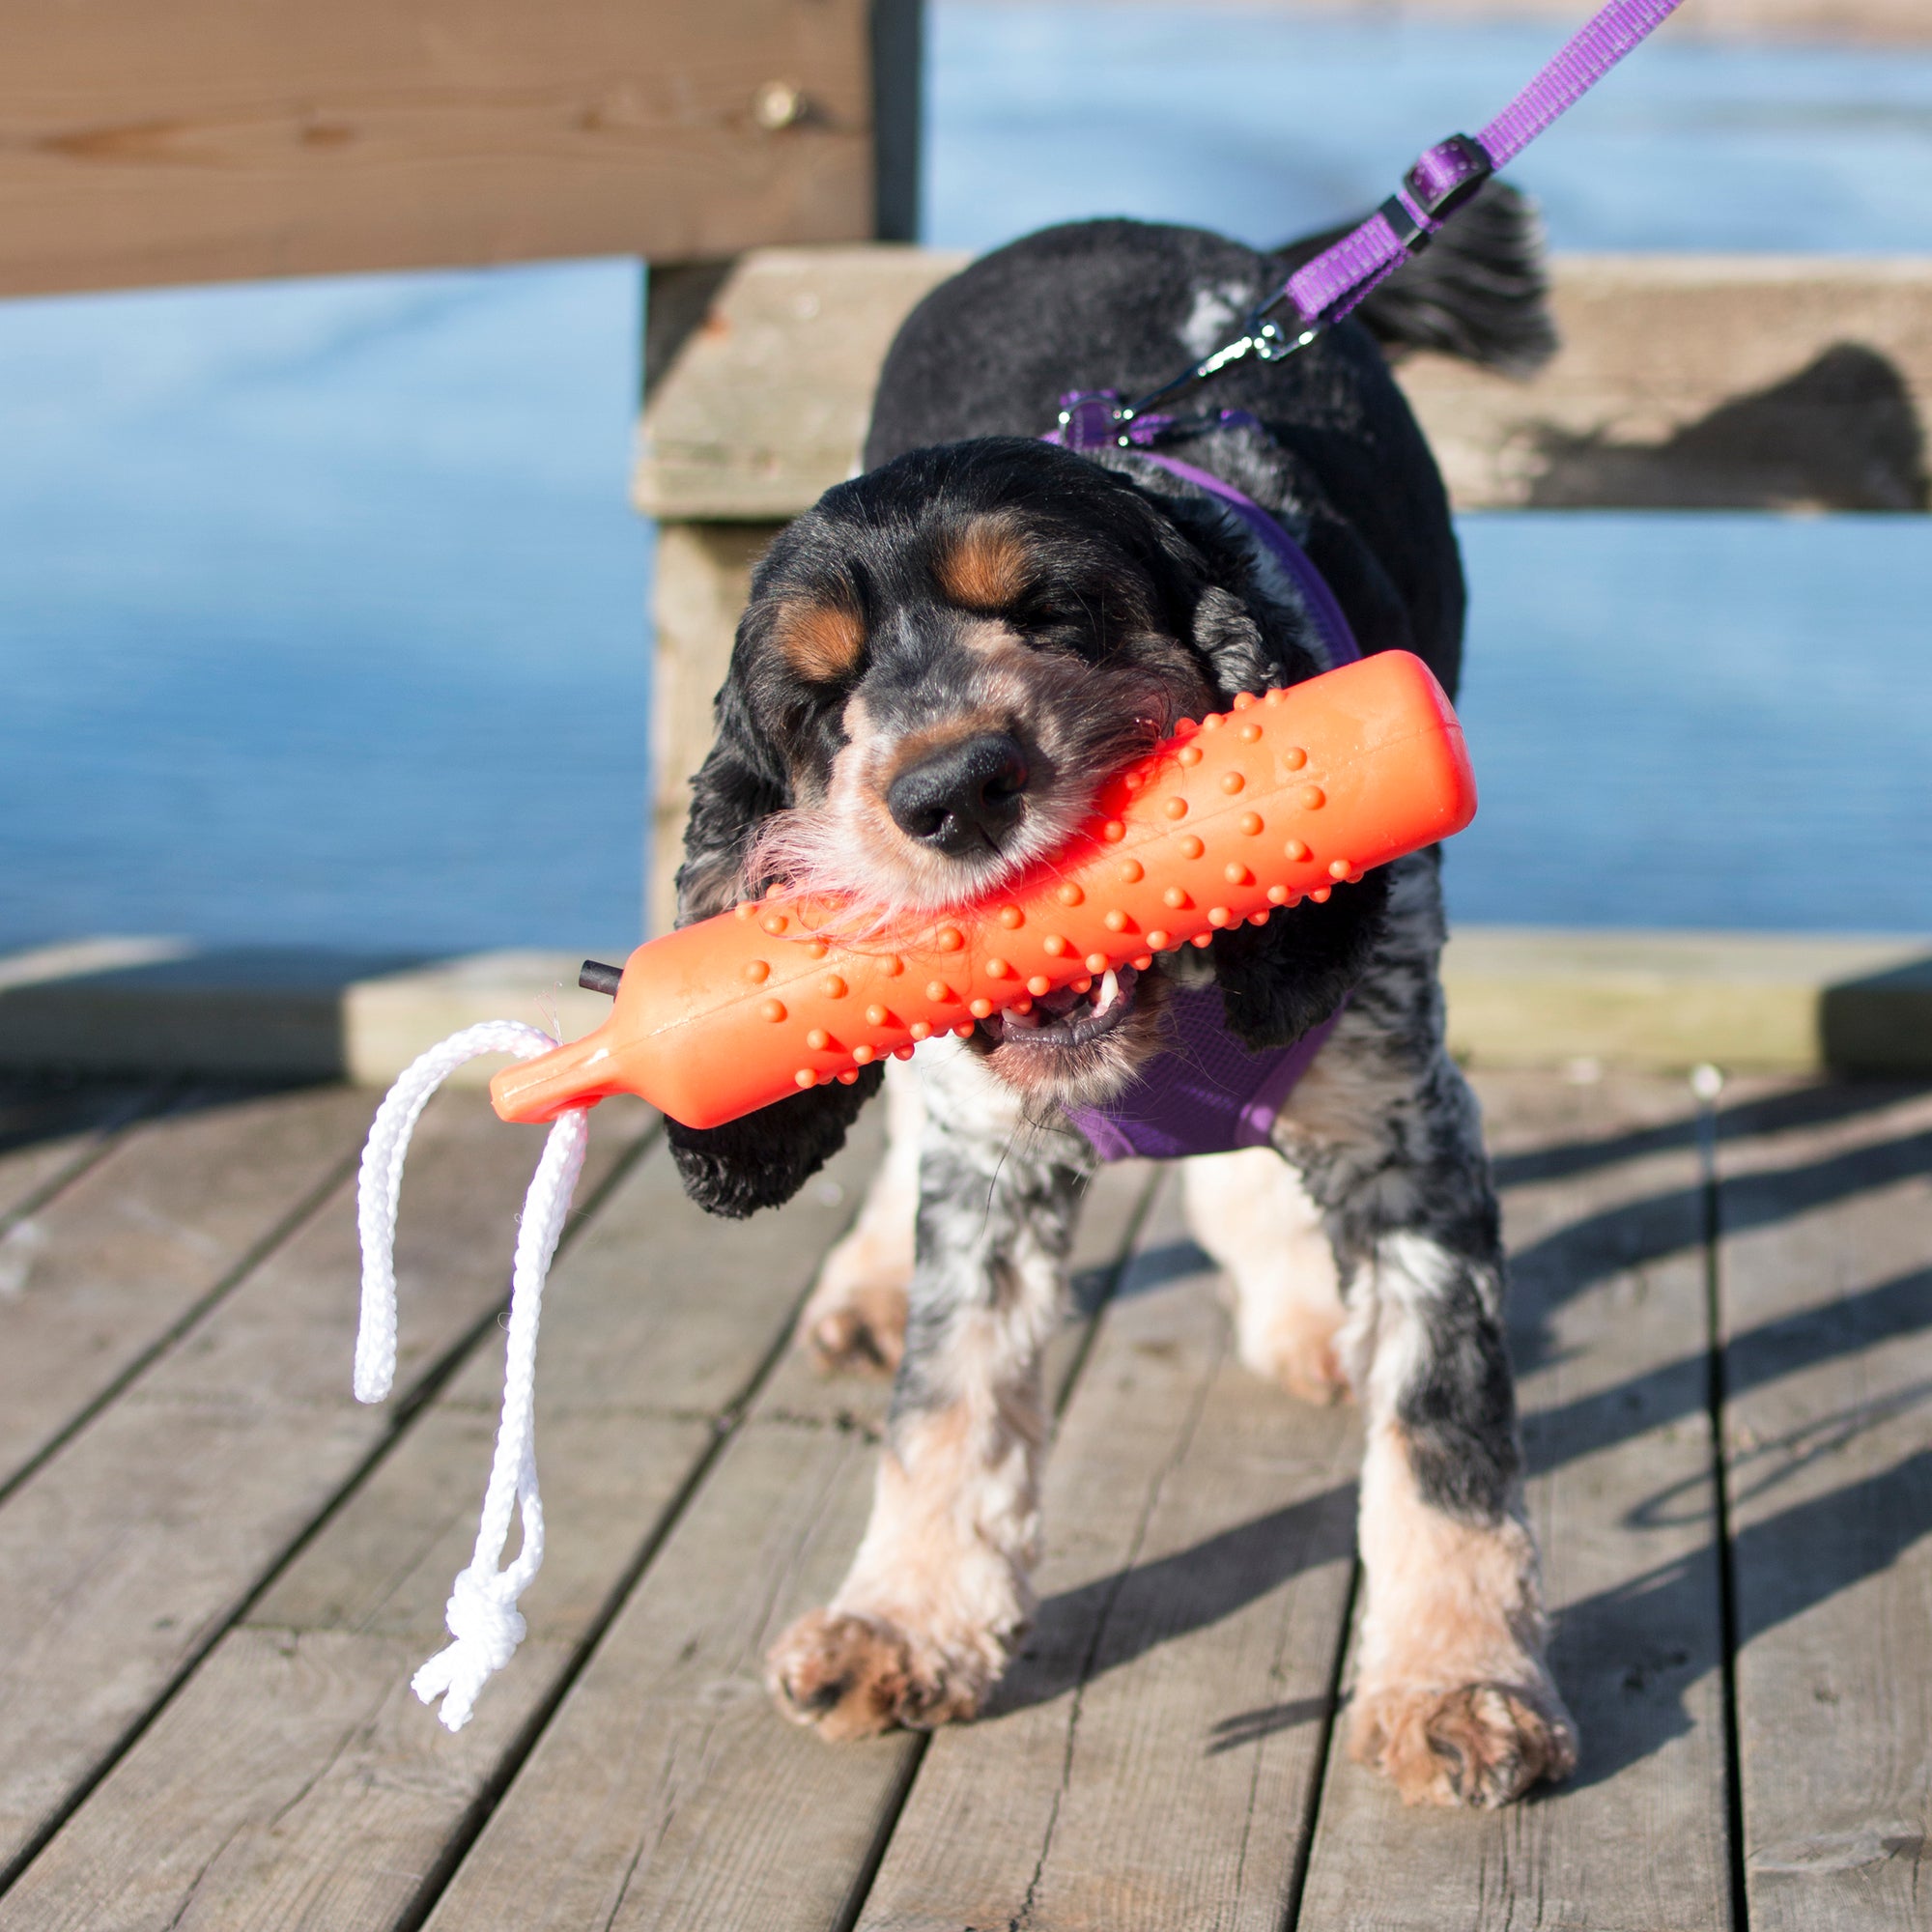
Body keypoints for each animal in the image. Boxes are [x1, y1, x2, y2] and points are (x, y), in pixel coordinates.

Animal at [665, 188, 1569, 1801]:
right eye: (818, 704)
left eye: (1053, 610)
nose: (953, 791)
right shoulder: (993, 1162)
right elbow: (951, 1395)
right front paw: (903, 1624)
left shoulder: (1412, 1137)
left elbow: (1445, 1433)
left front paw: (1460, 1683)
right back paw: (870, 1284)